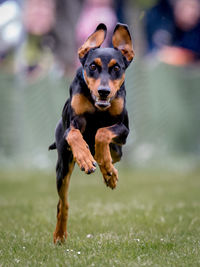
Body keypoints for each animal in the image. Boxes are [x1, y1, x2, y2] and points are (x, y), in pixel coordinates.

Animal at [48, 23, 134, 245]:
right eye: (92, 66)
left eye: (116, 68)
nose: (104, 91)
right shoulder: (72, 125)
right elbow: (75, 135)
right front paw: (85, 159)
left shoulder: (124, 131)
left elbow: (102, 133)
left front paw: (107, 170)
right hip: (62, 165)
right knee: (62, 203)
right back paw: (59, 235)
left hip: (118, 150)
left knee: (109, 154)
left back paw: (109, 172)